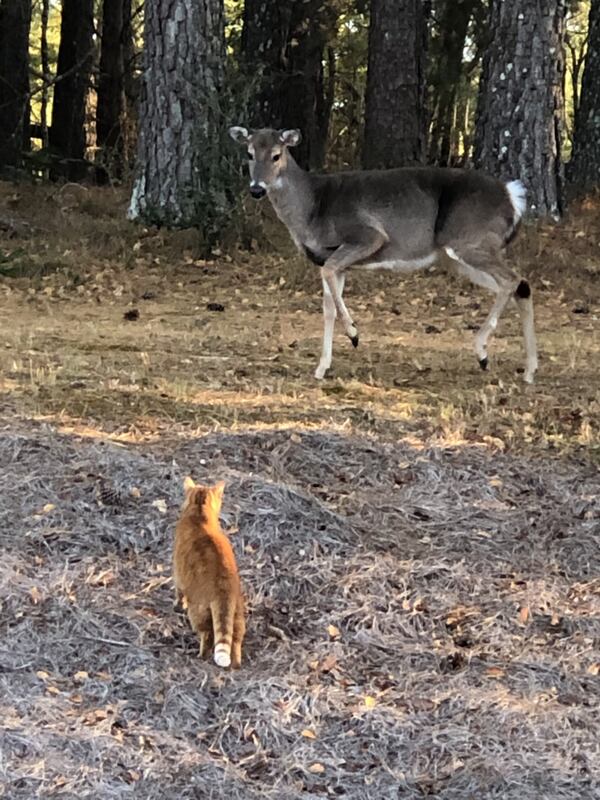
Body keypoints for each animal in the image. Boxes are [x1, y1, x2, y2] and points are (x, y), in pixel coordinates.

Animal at [173, 476, 246, 668]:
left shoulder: (178, 574)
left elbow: (178, 592)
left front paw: (177, 604)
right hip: (237, 613)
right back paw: (236, 664)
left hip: (198, 610)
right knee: (236, 640)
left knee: (206, 635)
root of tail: (224, 587)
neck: (200, 513)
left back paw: (200, 655)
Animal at [227, 126, 536, 384]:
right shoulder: (330, 259)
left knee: (511, 279)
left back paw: (483, 352)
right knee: (521, 285)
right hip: (459, 255)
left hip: (470, 240)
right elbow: (328, 307)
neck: (313, 206)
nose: (256, 189)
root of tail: (512, 197)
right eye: (250, 153)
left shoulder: (367, 235)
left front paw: (354, 334)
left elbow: (332, 282)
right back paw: (529, 370)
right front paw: (321, 367)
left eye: (277, 155)